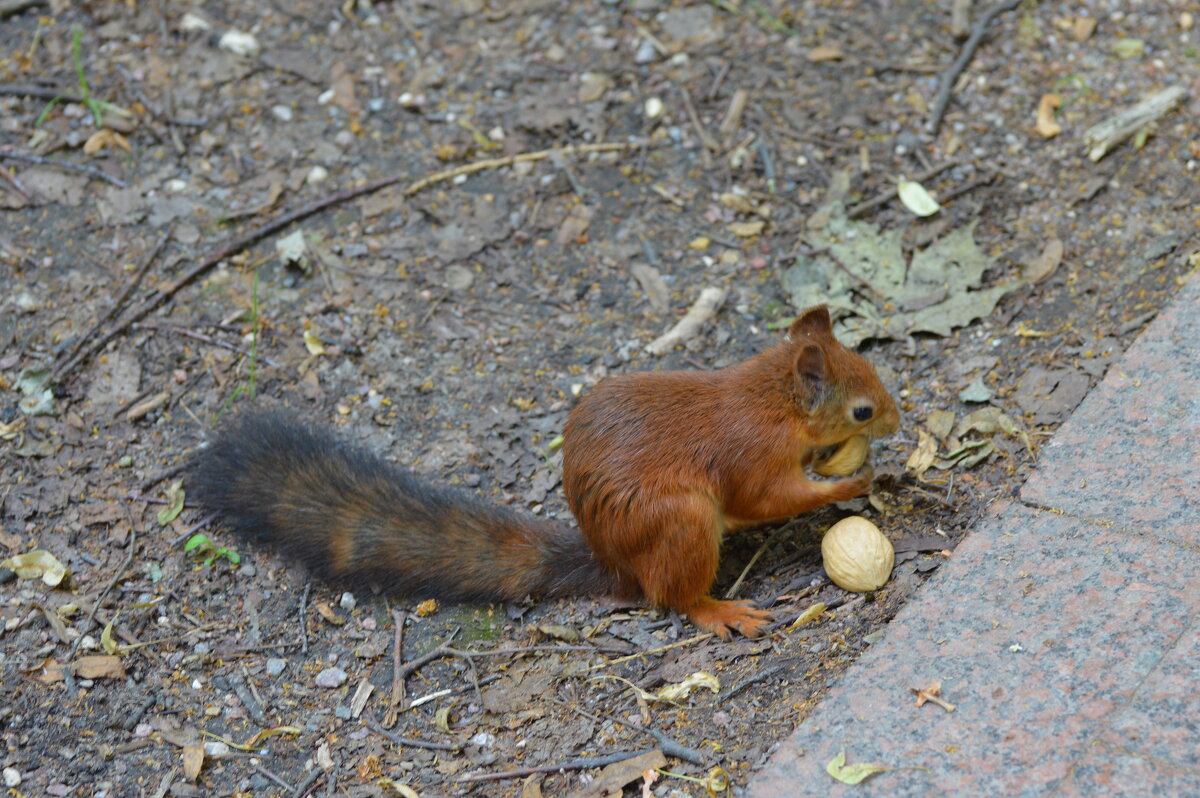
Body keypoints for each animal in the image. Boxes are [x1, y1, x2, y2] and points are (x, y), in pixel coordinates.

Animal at [192, 303, 897, 633]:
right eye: (862, 409)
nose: (893, 420)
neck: (771, 398)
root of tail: (612, 561)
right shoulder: (752, 456)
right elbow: (769, 499)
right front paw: (853, 478)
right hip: (681, 523)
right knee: (672, 594)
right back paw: (718, 610)